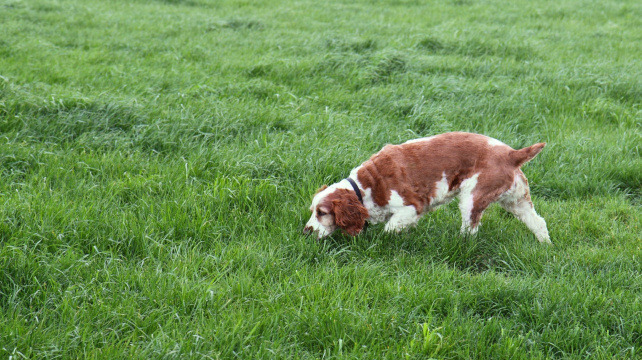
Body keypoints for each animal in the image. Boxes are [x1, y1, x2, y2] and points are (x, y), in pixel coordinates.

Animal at [302, 131, 548, 243]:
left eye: (322, 212)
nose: (306, 231)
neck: (365, 187)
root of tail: (512, 154)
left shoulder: (411, 206)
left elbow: (390, 227)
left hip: (472, 198)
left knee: (470, 230)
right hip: (516, 200)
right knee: (539, 222)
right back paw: (545, 246)